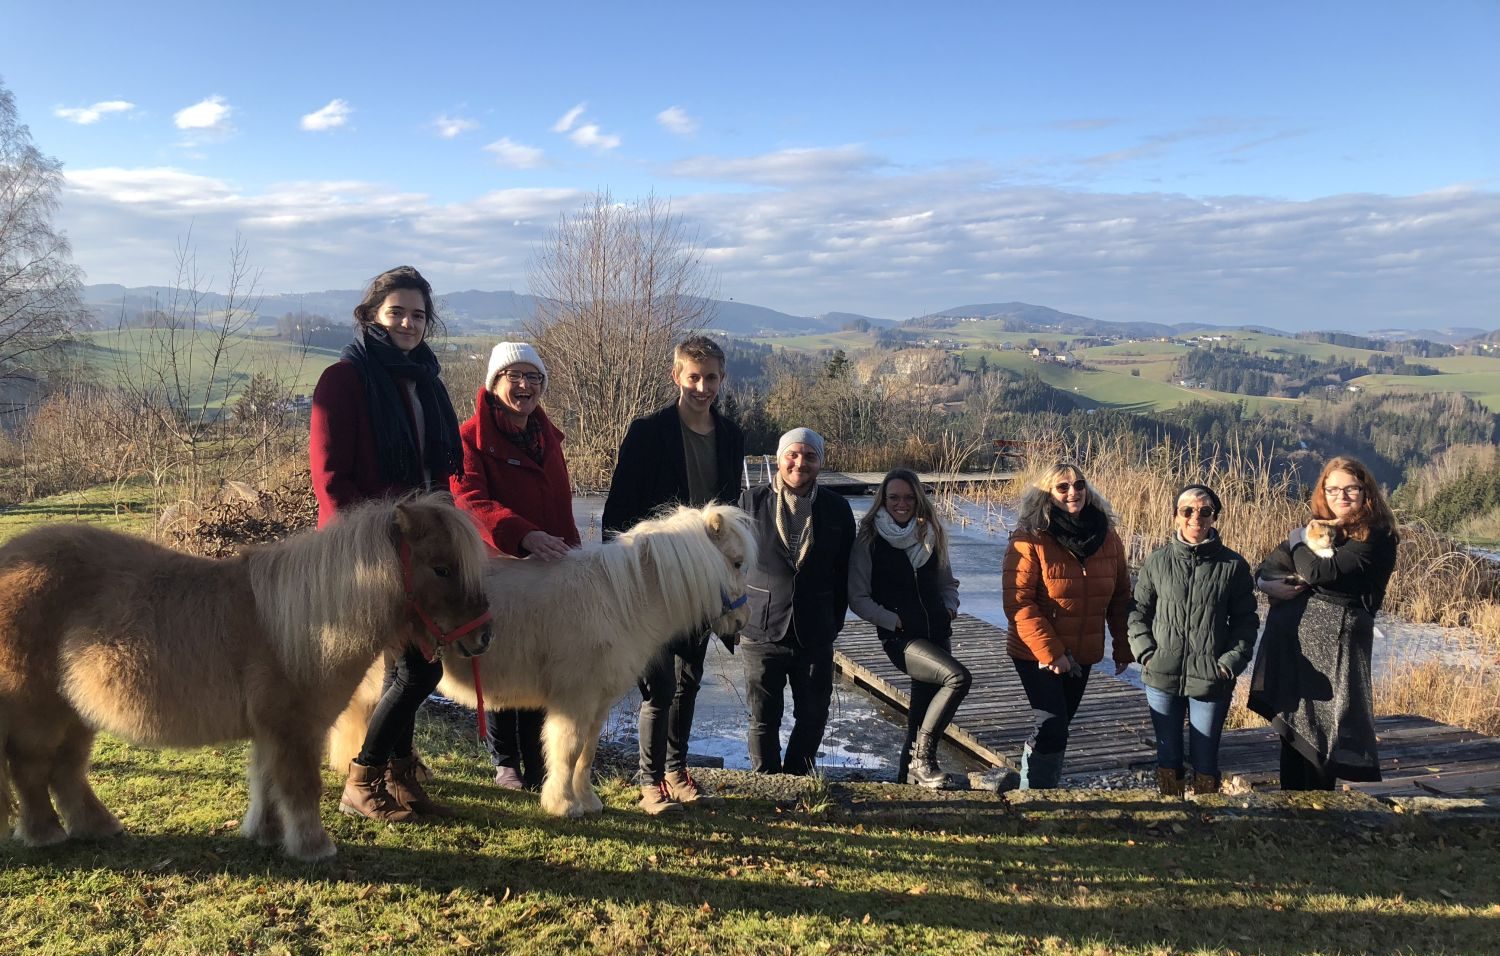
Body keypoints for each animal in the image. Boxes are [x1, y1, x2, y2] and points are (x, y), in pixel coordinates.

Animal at [327, 498, 750, 810]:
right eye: (737, 562)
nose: (743, 621)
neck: (620, 601)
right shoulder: (575, 700)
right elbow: (568, 748)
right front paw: (563, 804)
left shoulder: (598, 703)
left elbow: (587, 752)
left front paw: (587, 802)